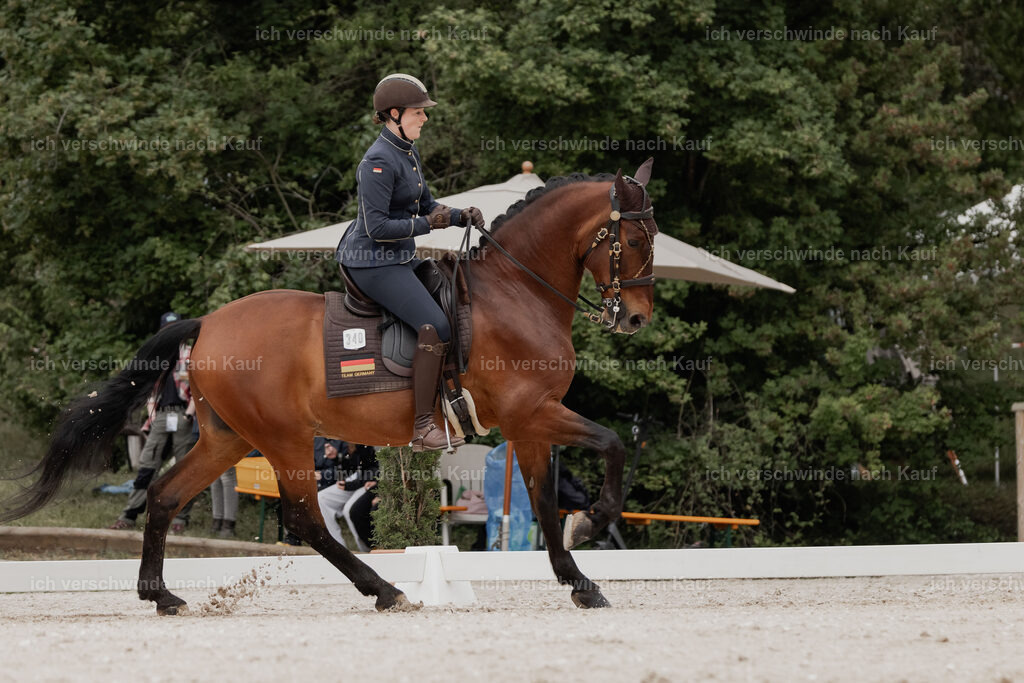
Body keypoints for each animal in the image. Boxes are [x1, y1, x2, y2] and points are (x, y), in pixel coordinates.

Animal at [1, 159, 658, 613]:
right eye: (634, 240)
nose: (635, 319)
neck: (517, 293)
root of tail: (208, 322)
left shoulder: (529, 421)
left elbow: (544, 502)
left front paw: (580, 581)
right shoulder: (533, 412)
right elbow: (610, 445)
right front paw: (593, 522)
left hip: (227, 438)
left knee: (164, 496)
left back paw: (160, 595)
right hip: (283, 437)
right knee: (304, 519)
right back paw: (386, 590)